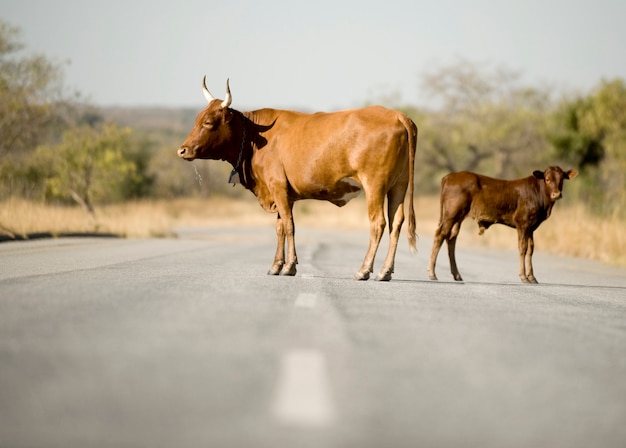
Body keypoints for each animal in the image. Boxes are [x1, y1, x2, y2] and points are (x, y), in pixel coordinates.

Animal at [178, 77, 416, 280]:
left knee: (378, 223)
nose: (183, 150)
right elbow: (280, 227)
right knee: (396, 222)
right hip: (399, 186)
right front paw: (276, 265)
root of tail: (396, 115)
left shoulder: (277, 187)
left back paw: (364, 270)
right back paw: (385, 271)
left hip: (375, 185)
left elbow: (289, 225)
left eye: (209, 122)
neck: (257, 138)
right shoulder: (284, 194)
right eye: (197, 119)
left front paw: (289, 266)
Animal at [426, 168, 576, 284]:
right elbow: (523, 248)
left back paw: (456, 274)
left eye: (561, 179)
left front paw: (532, 277)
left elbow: (531, 249)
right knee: (440, 235)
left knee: (451, 238)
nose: (557, 194)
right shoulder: (522, 223)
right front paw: (523, 276)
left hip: (458, 218)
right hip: (450, 215)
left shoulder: (531, 227)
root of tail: (449, 176)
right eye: (547, 179)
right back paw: (432, 273)